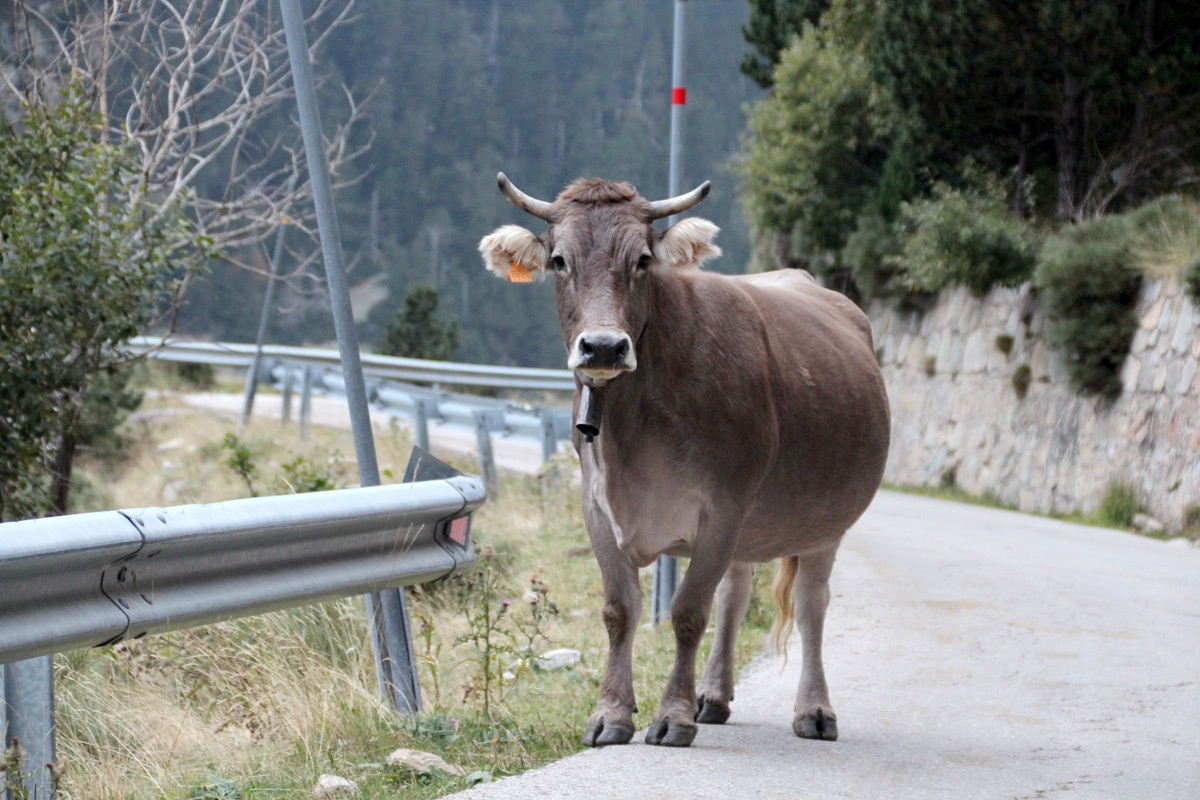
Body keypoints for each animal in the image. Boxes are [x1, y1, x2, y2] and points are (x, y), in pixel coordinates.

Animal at [477, 175, 892, 753]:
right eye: (559, 261)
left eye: (643, 260)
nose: (603, 346)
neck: (633, 428)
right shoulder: (596, 506)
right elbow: (619, 610)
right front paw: (611, 714)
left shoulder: (722, 507)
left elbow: (688, 613)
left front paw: (672, 716)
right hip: (752, 526)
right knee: (736, 593)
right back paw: (714, 695)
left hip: (823, 523)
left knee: (811, 605)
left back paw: (813, 711)